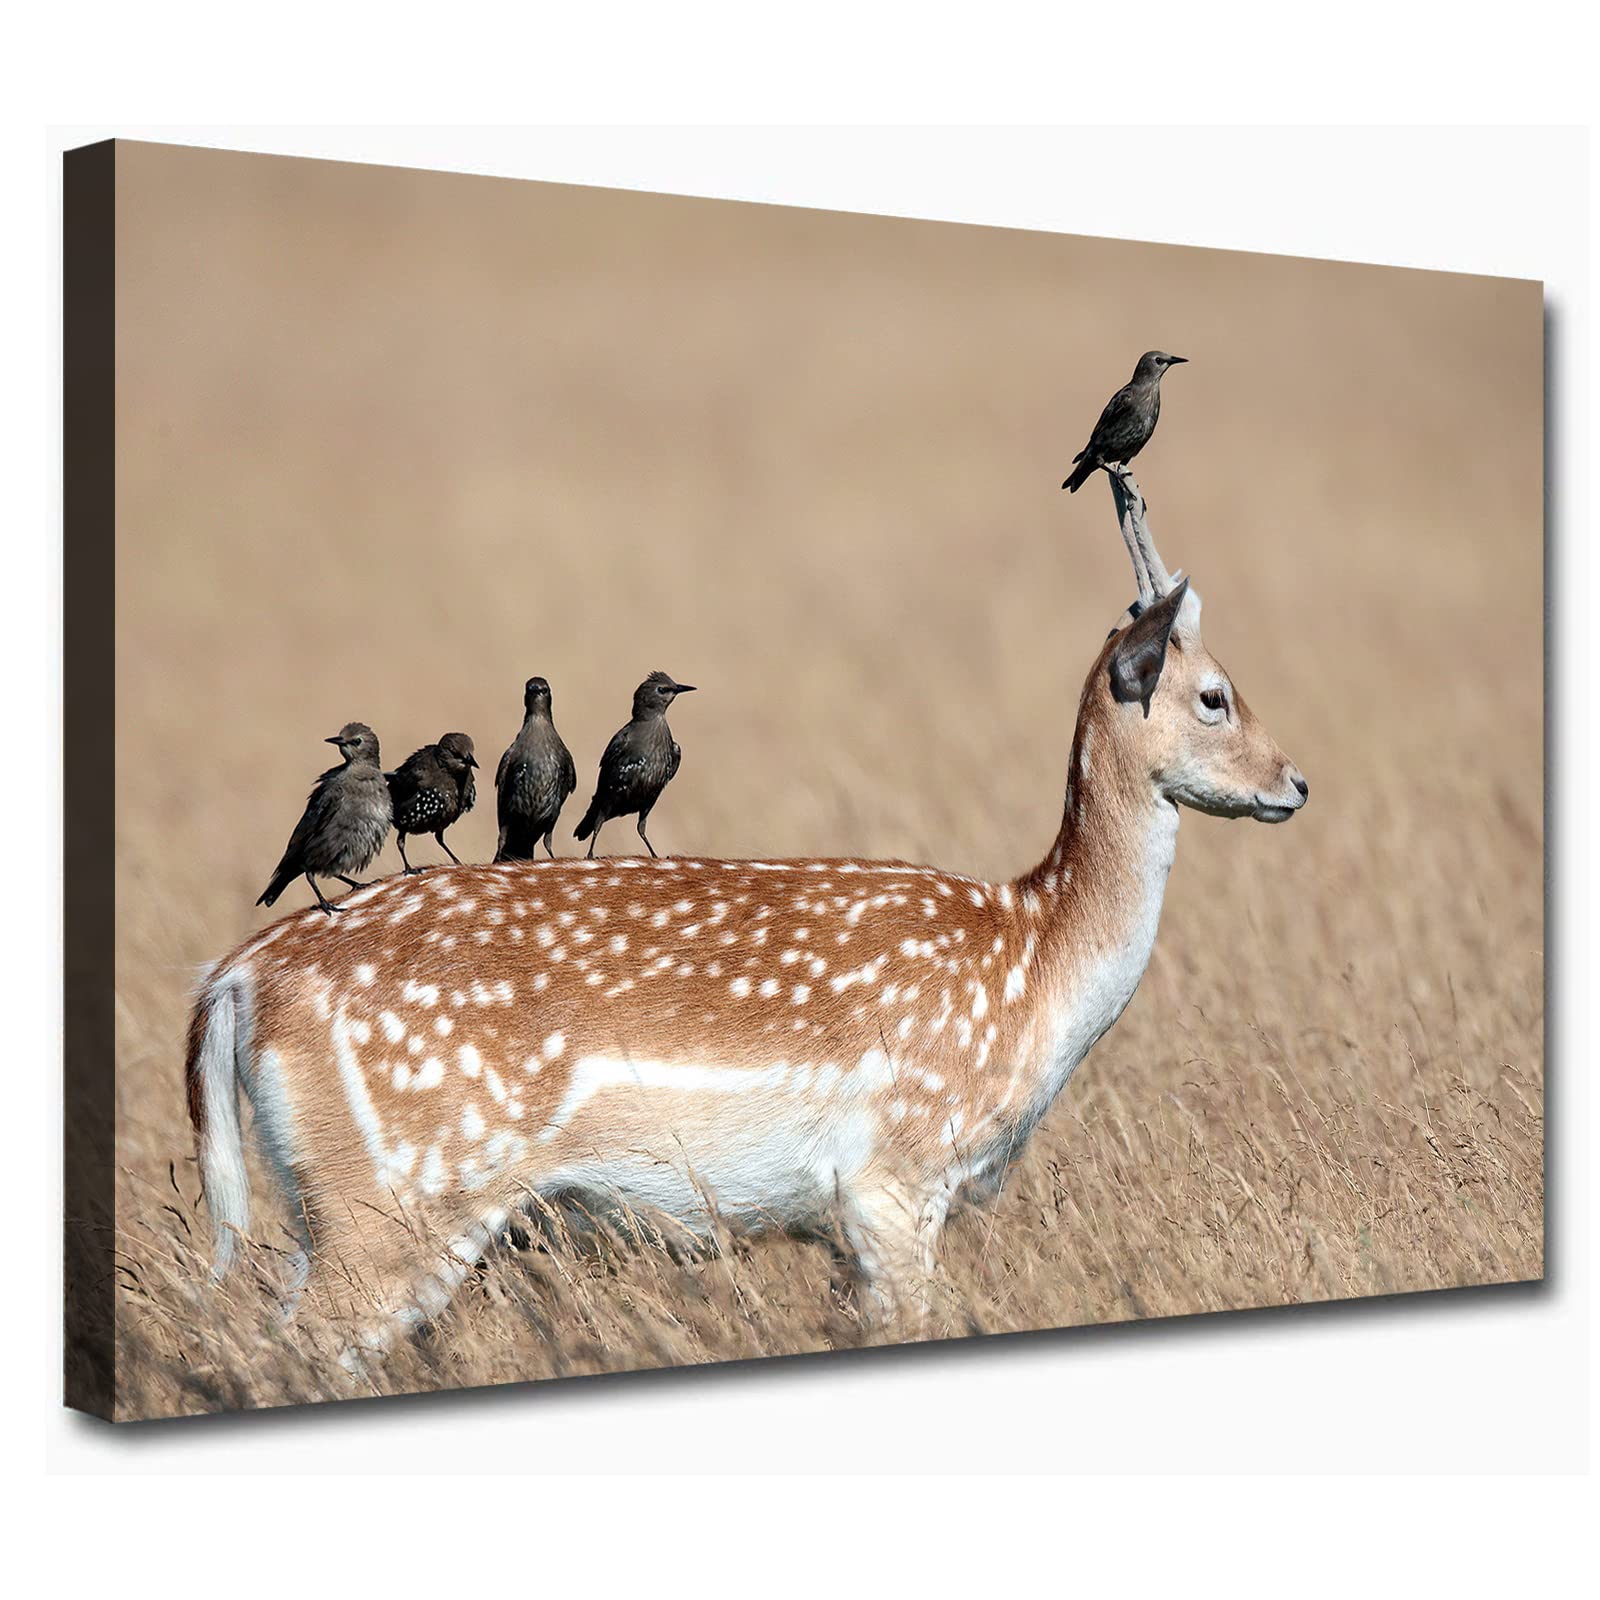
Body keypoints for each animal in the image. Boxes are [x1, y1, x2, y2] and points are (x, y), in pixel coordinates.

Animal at [185, 466, 1307, 1370]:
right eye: (1215, 694)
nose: (1293, 783)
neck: (1033, 959)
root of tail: (233, 983)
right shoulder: (893, 1177)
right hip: (388, 1197)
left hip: (324, 1206)